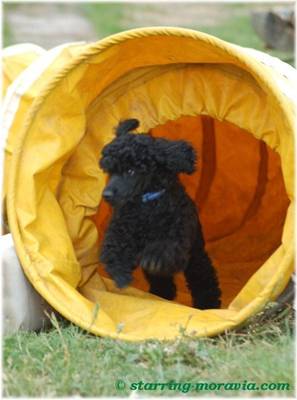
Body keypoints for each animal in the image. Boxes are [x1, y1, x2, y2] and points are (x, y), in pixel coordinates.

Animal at [99, 119, 220, 310]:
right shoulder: (121, 226)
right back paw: (162, 293)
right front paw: (119, 274)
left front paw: (153, 259)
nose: (106, 195)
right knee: (162, 280)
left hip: (195, 252)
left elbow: (163, 249)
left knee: (202, 276)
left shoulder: (176, 237)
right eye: (109, 171)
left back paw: (207, 303)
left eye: (131, 171)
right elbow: (114, 247)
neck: (147, 203)